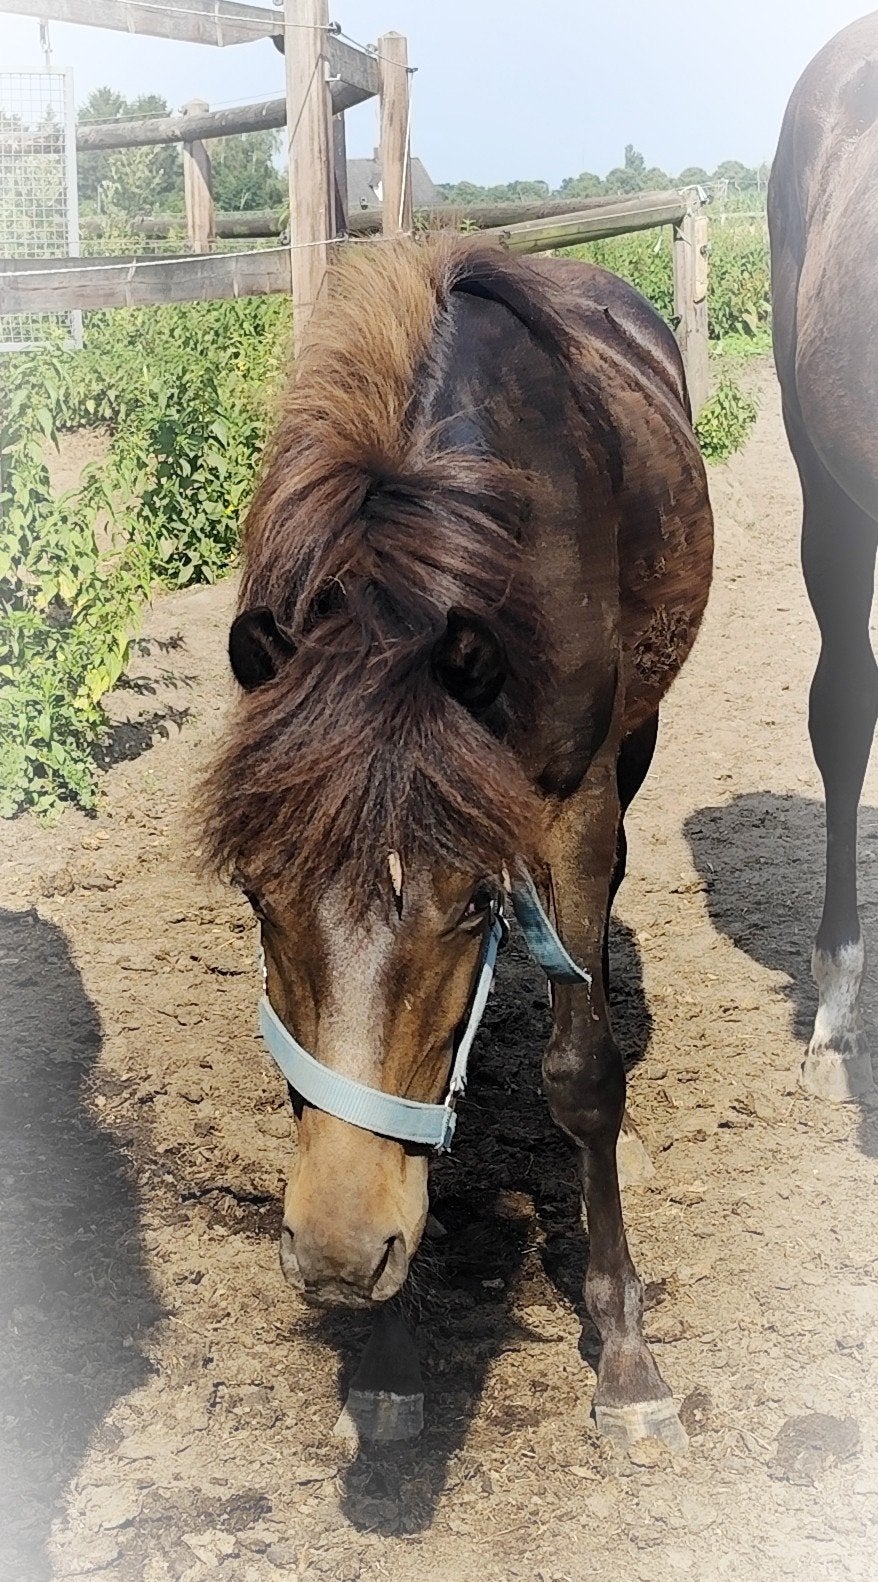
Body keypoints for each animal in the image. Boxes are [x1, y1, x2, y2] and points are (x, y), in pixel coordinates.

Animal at [199, 238, 713, 1449]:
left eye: (474, 903)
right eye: (256, 898)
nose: (338, 1255)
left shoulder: (568, 806)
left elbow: (582, 1072)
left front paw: (628, 1366)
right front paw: (387, 1362)